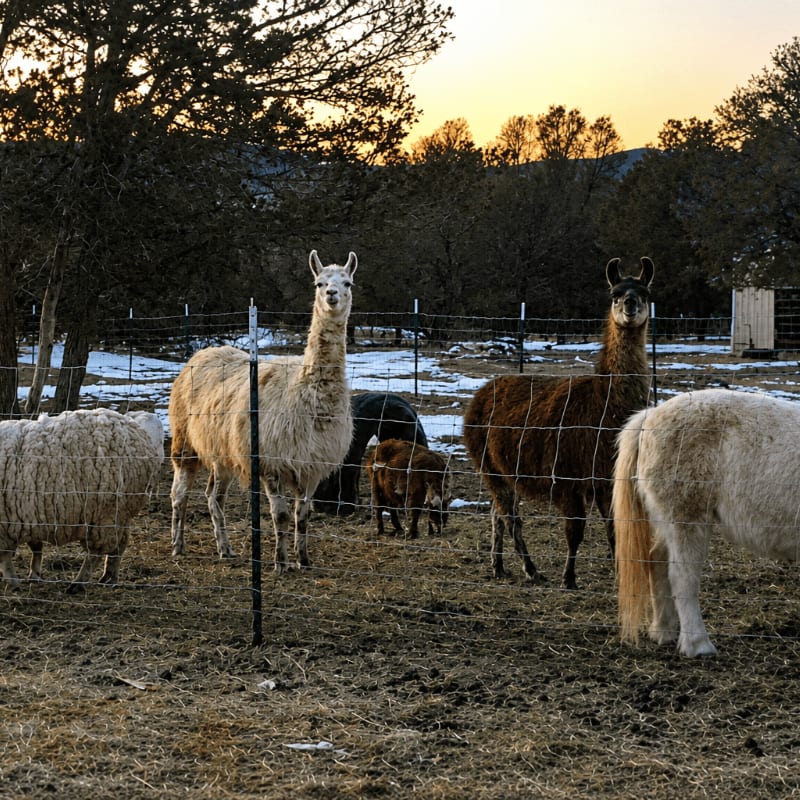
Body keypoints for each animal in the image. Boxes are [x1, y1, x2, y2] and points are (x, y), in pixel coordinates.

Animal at [0, 408, 164, 590]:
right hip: (120, 513)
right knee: (119, 545)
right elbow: (34, 547)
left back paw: (78, 583)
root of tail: (139, 431)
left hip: (104, 515)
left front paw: (13, 581)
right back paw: (109, 578)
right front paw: (32, 575)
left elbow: (6, 559)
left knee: (96, 553)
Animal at [169, 250, 357, 572]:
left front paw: (303, 560)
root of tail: (200, 353)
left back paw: (225, 549)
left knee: (213, 496)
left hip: (222, 451)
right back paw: (177, 546)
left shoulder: (312, 465)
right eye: (319, 283)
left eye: (347, 282)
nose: (332, 295)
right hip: (185, 439)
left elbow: (303, 515)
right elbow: (280, 515)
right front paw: (281, 564)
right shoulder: (272, 462)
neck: (310, 399)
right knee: (179, 493)